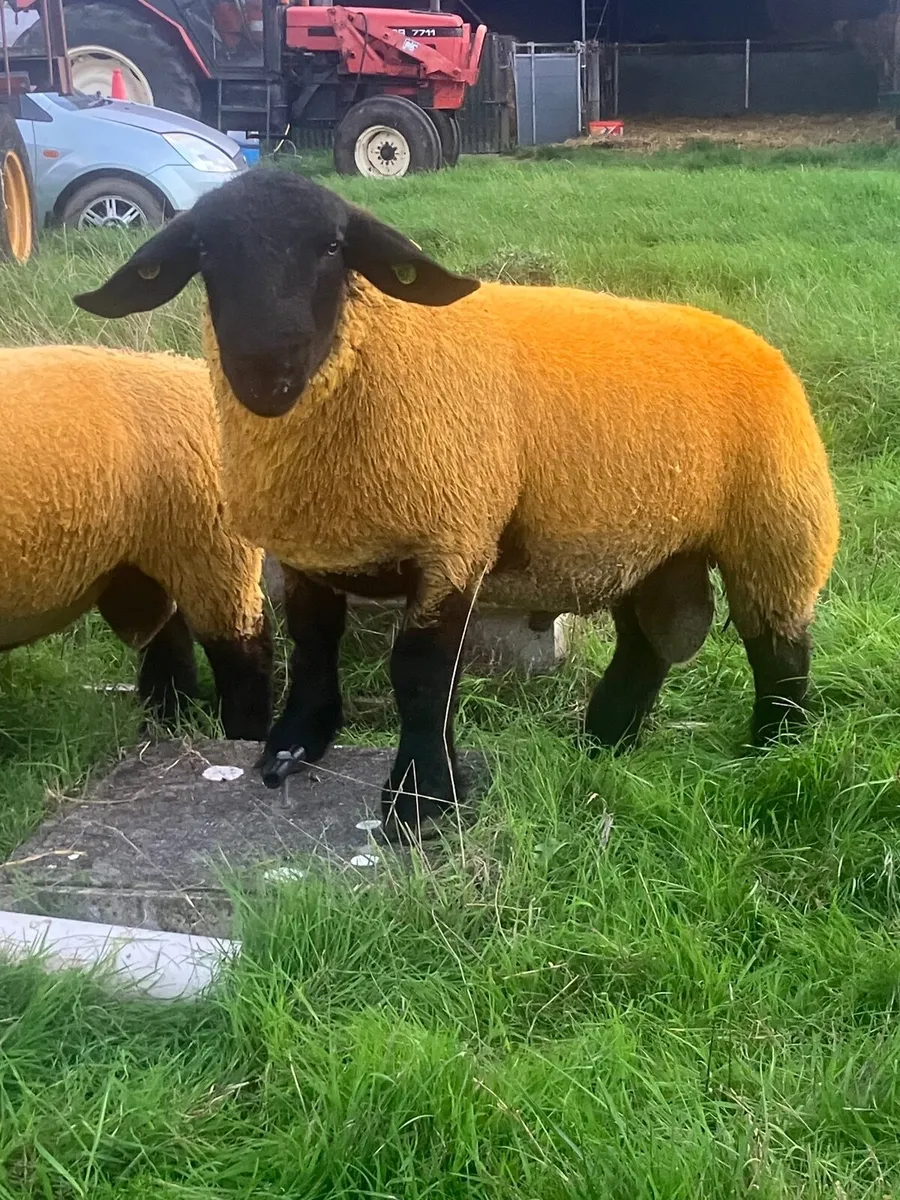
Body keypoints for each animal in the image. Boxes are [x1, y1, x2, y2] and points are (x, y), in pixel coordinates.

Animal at [0, 343, 273, 738]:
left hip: (213, 546)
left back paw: (244, 733)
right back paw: (165, 721)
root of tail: (191, 371)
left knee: (243, 651)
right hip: (143, 562)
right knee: (169, 639)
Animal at [73, 167, 840, 841]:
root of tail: (757, 344)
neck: (378, 351)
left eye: (332, 247)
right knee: (647, 646)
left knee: (779, 650)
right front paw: (294, 746)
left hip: (778, 529)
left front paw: (421, 802)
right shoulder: (311, 548)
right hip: (650, 548)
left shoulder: (453, 539)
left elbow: (420, 675)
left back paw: (774, 751)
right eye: (204, 252)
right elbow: (316, 645)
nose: (268, 369)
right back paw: (603, 743)